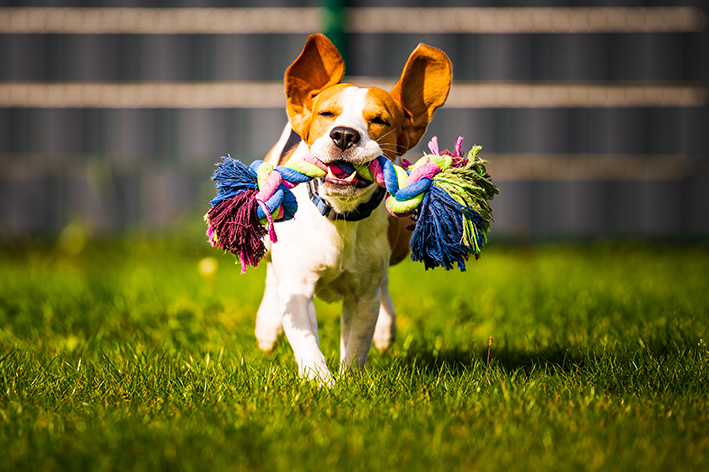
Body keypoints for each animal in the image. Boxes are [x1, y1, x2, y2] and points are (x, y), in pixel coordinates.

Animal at [256, 34, 454, 384]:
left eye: (379, 120)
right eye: (326, 114)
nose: (345, 134)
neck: (340, 215)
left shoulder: (363, 296)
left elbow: (357, 341)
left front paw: (349, 380)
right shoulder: (298, 286)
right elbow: (306, 340)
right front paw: (321, 383)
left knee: (384, 284)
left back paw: (386, 328)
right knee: (270, 274)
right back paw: (267, 326)